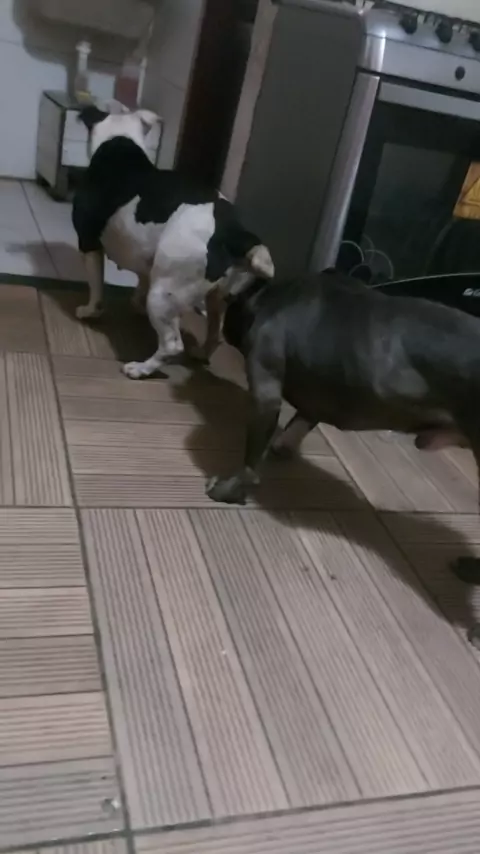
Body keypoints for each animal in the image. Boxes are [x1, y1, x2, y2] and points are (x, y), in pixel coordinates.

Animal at [72, 106, 274, 376]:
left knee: (171, 345)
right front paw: (135, 303)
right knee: (215, 331)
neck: (119, 141)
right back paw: (201, 352)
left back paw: (141, 369)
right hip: (219, 296)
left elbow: (95, 288)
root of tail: (233, 231)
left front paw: (89, 311)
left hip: (164, 294)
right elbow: (142, 280)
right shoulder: (145, 258)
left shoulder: (88, 244)